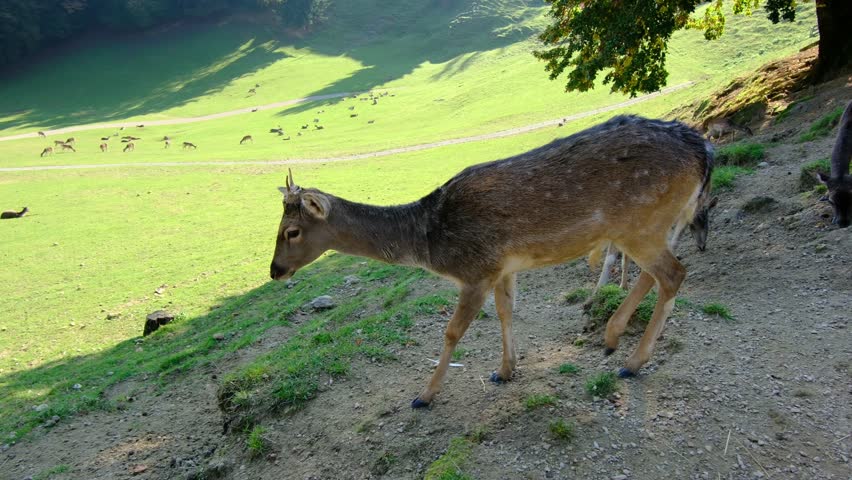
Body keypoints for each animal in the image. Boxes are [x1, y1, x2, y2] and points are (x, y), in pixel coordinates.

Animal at [269, 115, 714, 408]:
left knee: (673, 273)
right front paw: (505, 370)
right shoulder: (502, 268)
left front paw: (425, 395)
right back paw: (611, 336)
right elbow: (506, 311)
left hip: (642, 222)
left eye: (291, 231)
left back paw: (633, 362)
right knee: (655, 274)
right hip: (652, 225)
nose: (274, 271)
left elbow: (452, 331)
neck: (429, 242)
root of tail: (705, 150)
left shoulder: (475, 270)